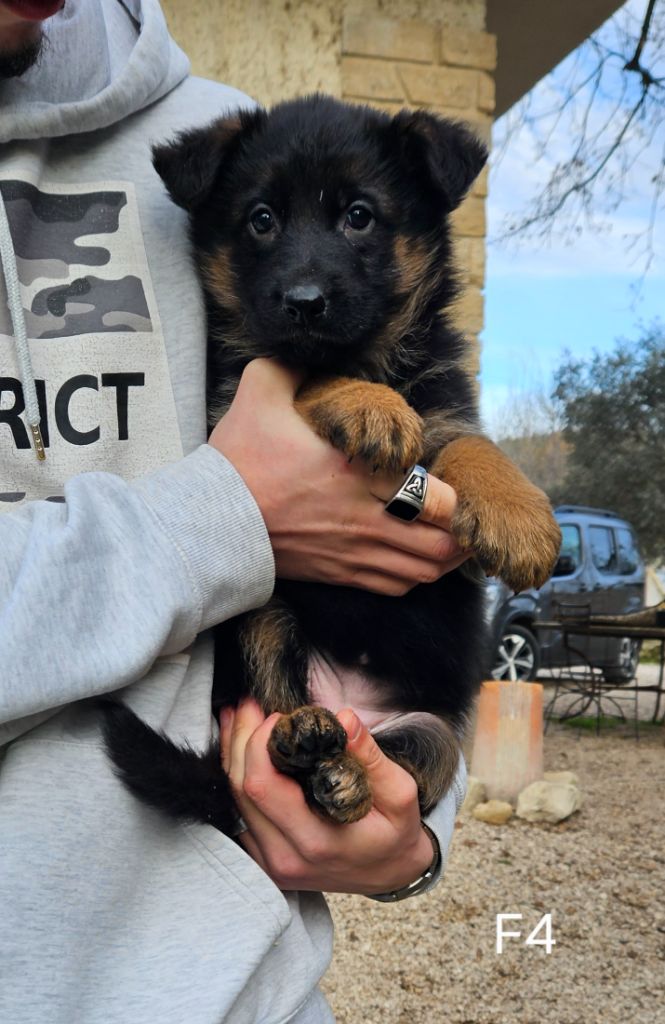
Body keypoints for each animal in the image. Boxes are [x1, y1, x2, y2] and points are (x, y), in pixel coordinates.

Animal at [103, 96, 561, 831]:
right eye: (261, 219)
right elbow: (306, 372)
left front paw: (519, 518)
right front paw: (369, 406)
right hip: (264, 614)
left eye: (359, 215)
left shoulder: (446, 417)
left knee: (405, 759)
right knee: (280, 706)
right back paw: (306, 736)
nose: (304, 302)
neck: (370, 358)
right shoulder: (232, 401)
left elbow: (471, 442)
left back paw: (343, 772)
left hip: (433, 732)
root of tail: (355, 713)